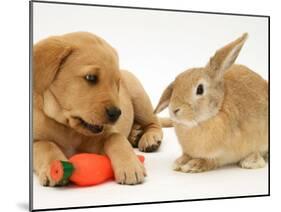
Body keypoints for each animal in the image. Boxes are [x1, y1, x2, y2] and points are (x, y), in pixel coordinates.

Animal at [154, 33, 268, 172]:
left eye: (200, 89)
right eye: (175, 86)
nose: (174, 110)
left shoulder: (222, 155)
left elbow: (210, 161)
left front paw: (193, 165)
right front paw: (180, 162)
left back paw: (250, 161)